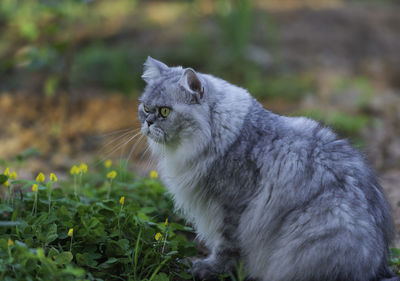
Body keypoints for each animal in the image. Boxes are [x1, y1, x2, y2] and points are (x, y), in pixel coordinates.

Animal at [138, 56, 400, 280]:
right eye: (146, 108)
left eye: (164, 111)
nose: (148, 123)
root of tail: (379, 268)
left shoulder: (232, 207)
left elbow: (227, 248)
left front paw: (210, 269)